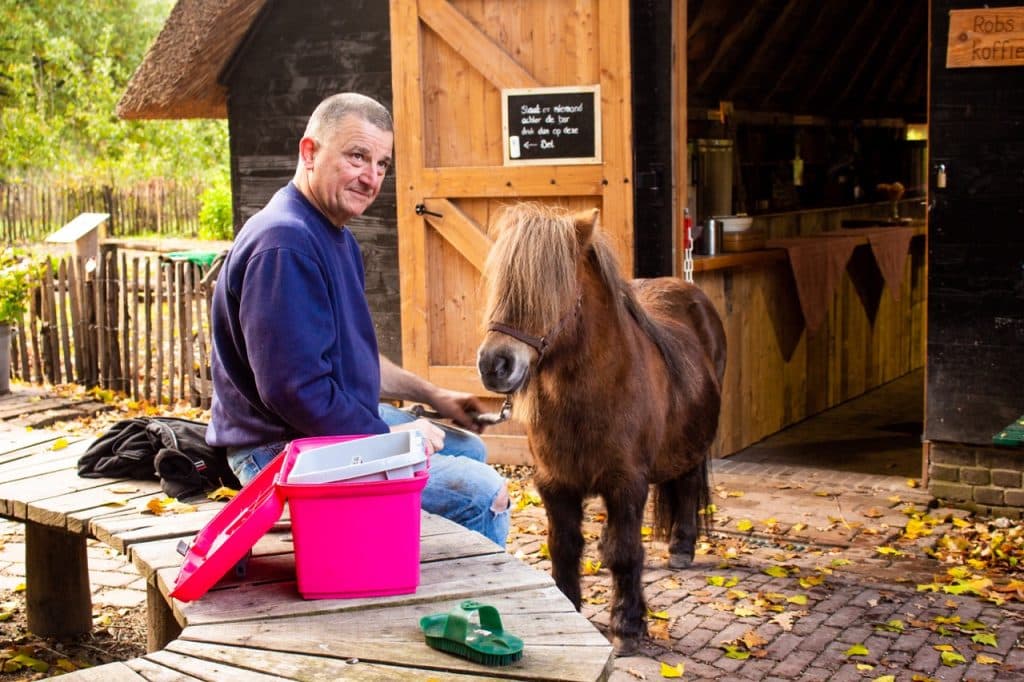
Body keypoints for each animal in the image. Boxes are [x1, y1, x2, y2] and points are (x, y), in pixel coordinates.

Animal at [477, 203, 726, 655]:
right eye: (501, 282)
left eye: (553, 289)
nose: (494, 365)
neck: (589, 398)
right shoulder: (554, 484)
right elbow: (564, 546)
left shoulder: (626, 484)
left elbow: (624, 551)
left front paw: (627, 627)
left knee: (686, 483)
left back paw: (682, 546)